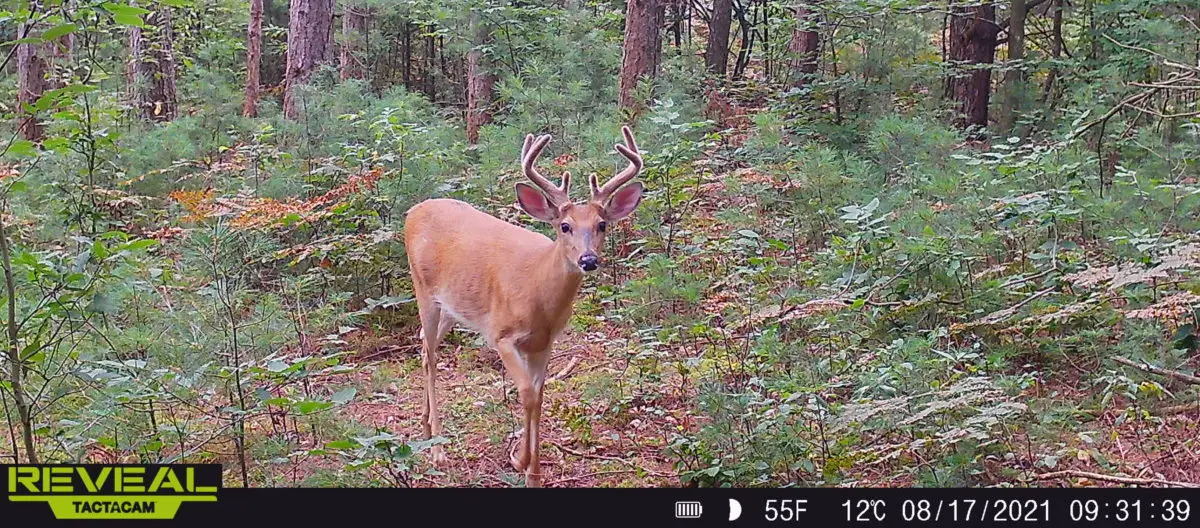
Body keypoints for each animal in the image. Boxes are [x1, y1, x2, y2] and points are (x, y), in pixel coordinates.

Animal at [403, 124, 648, 487]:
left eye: (602, 225)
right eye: (565, 226)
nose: (588, 260)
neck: (538, 295)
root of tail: (413, 211)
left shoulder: (545, 343)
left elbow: (540, 394)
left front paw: (532, 470)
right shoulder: (501, 335)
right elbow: (527, 393)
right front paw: (521, 461)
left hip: (452, 307)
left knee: (422, 345)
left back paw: (424, 426)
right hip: (423, 289)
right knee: (431, 356)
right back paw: (437, 449)